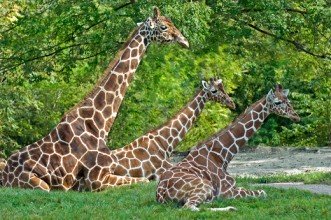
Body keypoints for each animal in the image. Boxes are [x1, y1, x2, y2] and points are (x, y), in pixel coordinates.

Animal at [1, 7, 189, 192]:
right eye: (164, 27)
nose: (184, 41)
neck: (100, 123)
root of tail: (5, 176)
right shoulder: (96, 179)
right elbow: (143, 181)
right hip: (39, 184)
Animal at [158, 84, 300, 211]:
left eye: (288, 100)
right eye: (277, 102)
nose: (296, 116)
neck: (222, 155)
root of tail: (160, 195)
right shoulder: (227, 191)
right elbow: (263, 192)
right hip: (204, 186)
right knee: (189, 207)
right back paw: (230, 208)